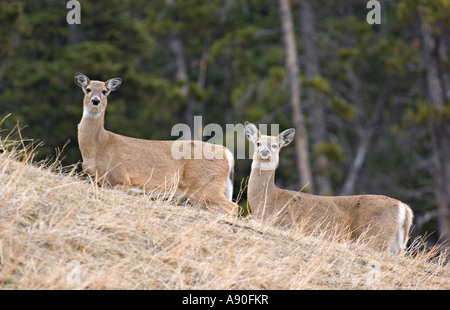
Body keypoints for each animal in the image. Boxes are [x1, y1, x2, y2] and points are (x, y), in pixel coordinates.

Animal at [74, 72, 239, 214]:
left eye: (104, 91)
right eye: (88, 89)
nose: (95, 101)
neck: (99, 146)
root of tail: (227, 153)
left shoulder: (120, 178)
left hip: (207, 184)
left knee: (233, 207)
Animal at [244, 121, 414, 252]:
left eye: (275, 145)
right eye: (258, 143)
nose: (264, 152)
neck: (268, 199)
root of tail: (404, 208)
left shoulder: (283, 223)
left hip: (375, 235)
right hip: (397, 245)